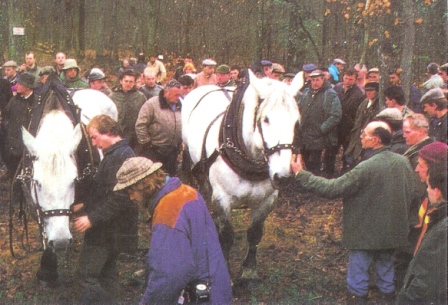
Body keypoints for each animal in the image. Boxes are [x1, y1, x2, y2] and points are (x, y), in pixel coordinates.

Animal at [183, 70, 304, 280]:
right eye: (266, 119)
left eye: (296, 121)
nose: (283, 177)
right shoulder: (222, 198)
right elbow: (227, 236)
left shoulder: (268, 200)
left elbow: (255, 232)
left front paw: (249, 270)